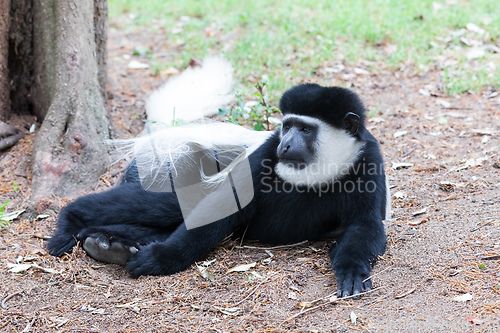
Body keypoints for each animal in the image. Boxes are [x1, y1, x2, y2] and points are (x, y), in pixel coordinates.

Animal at [47, 65, 388, 298]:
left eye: (305, 130)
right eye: (288, 125)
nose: (286, 145)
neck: (319, 173)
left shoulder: (368, 163)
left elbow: (365, 225)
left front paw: (352, 273)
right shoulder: (263, 156)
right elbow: (223, 205)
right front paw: (160, 259)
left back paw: (107, 245)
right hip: (175, 167)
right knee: (167, 204)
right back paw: (71, 222)